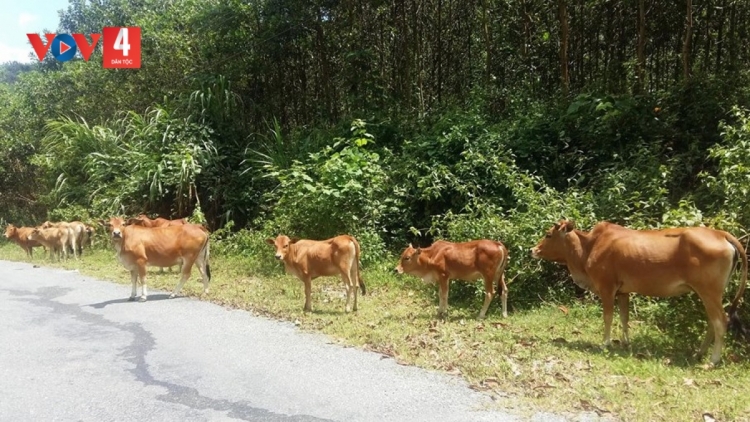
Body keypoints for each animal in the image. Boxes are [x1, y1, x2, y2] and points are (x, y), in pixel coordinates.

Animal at [532, 219, 748, 368]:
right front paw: (625, 343)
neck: (589, 246)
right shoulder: (623, 292)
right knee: (712, 321)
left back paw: (712, 360)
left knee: (721, 321)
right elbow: (624, 317)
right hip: (709, 294)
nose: (532, 250)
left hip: (709, 292)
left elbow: (608, 317)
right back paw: (698, 353)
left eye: (548, 234)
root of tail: (721, 234)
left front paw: (605, 343)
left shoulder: (606, 288)